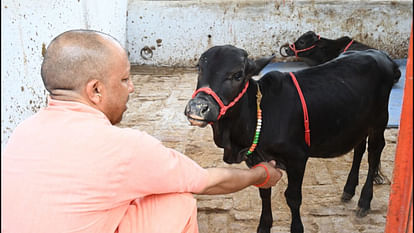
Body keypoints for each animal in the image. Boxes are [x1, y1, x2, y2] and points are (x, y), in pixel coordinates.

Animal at [184, 45, 402, 233]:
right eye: (200, 68)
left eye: (237, 74)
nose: (198, 107)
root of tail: (380, 54)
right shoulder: (257, 159)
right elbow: (264, 190)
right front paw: (264, 226)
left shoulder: (297, 157)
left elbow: (293, 197)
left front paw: (297, 228)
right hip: (357, 124)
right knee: (359, 149)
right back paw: (349, 189)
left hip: (379, 121)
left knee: (374, 155)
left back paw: (364, 201)